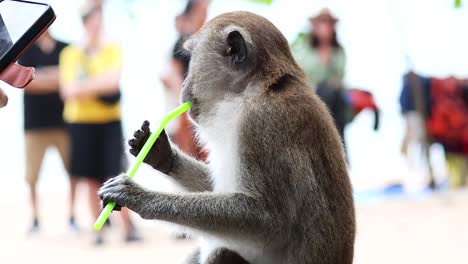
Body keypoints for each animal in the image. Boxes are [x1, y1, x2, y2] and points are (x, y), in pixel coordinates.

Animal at [99, 10, 354, 264]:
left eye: (190, 58)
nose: (182, 83)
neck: (254, 89)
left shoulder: (259, 124)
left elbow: (269, 221)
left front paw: (140, 196)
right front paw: (159, 152)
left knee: (223, 251)